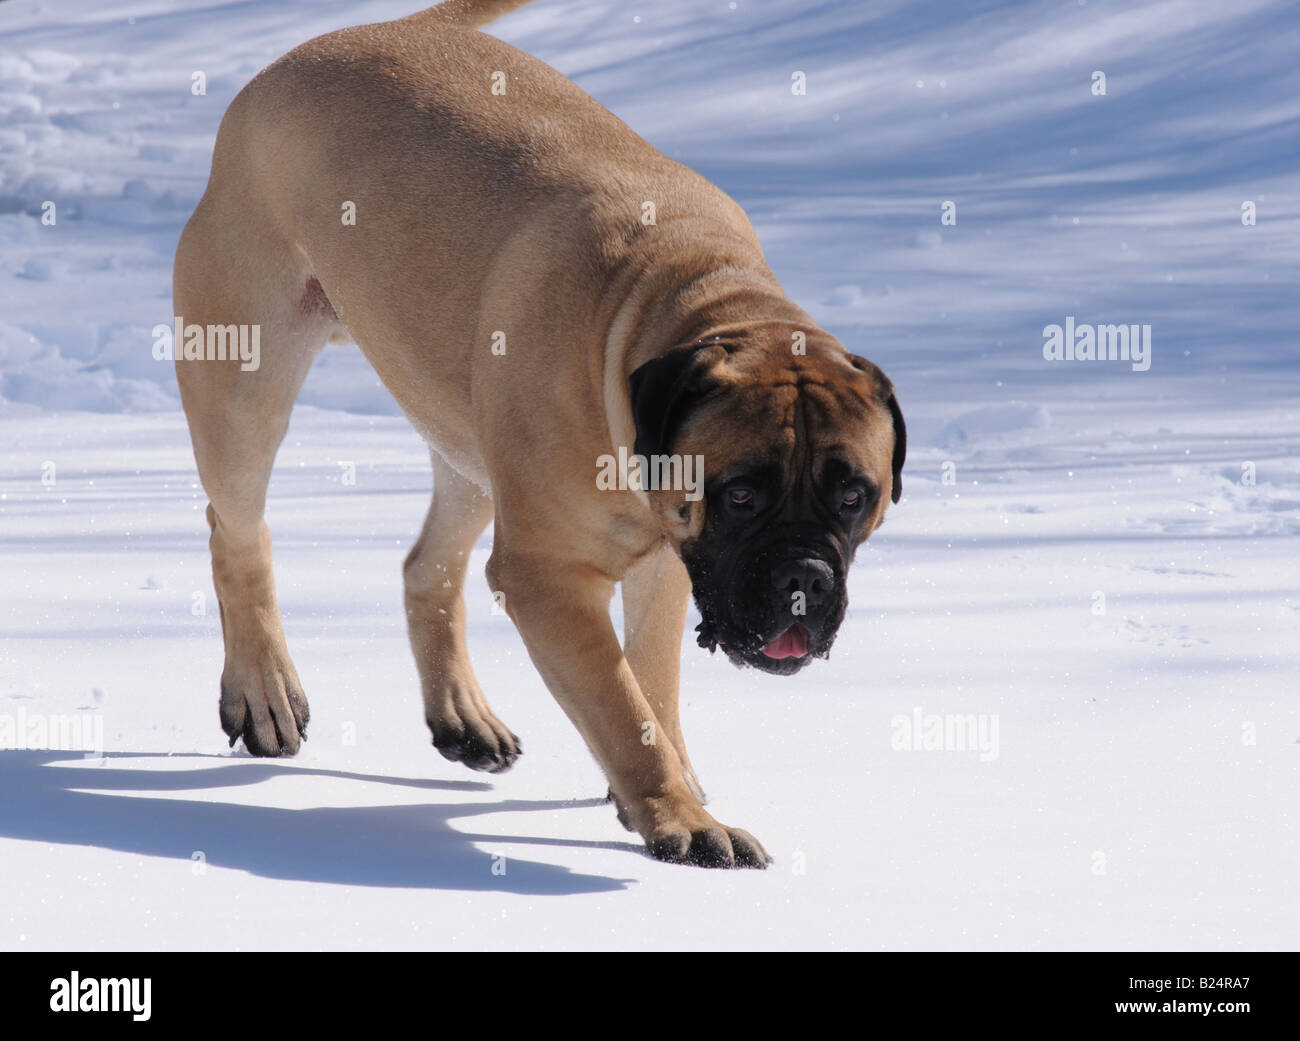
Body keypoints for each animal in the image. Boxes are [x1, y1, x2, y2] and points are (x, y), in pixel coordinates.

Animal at [172, 0, 904, 862]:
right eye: (742, 495)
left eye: (855, 497)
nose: (805, 578)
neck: (681, 297)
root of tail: (304, 52)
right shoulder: (549, 577)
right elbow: (621, 702)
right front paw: (680, 818)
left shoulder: (666, 559)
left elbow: (652, 683)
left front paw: (671, 787)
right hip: (244, 376)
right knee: (237, 530)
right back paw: (262, 687)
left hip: (467, 440)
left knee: (427, 564)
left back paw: (461, 713)